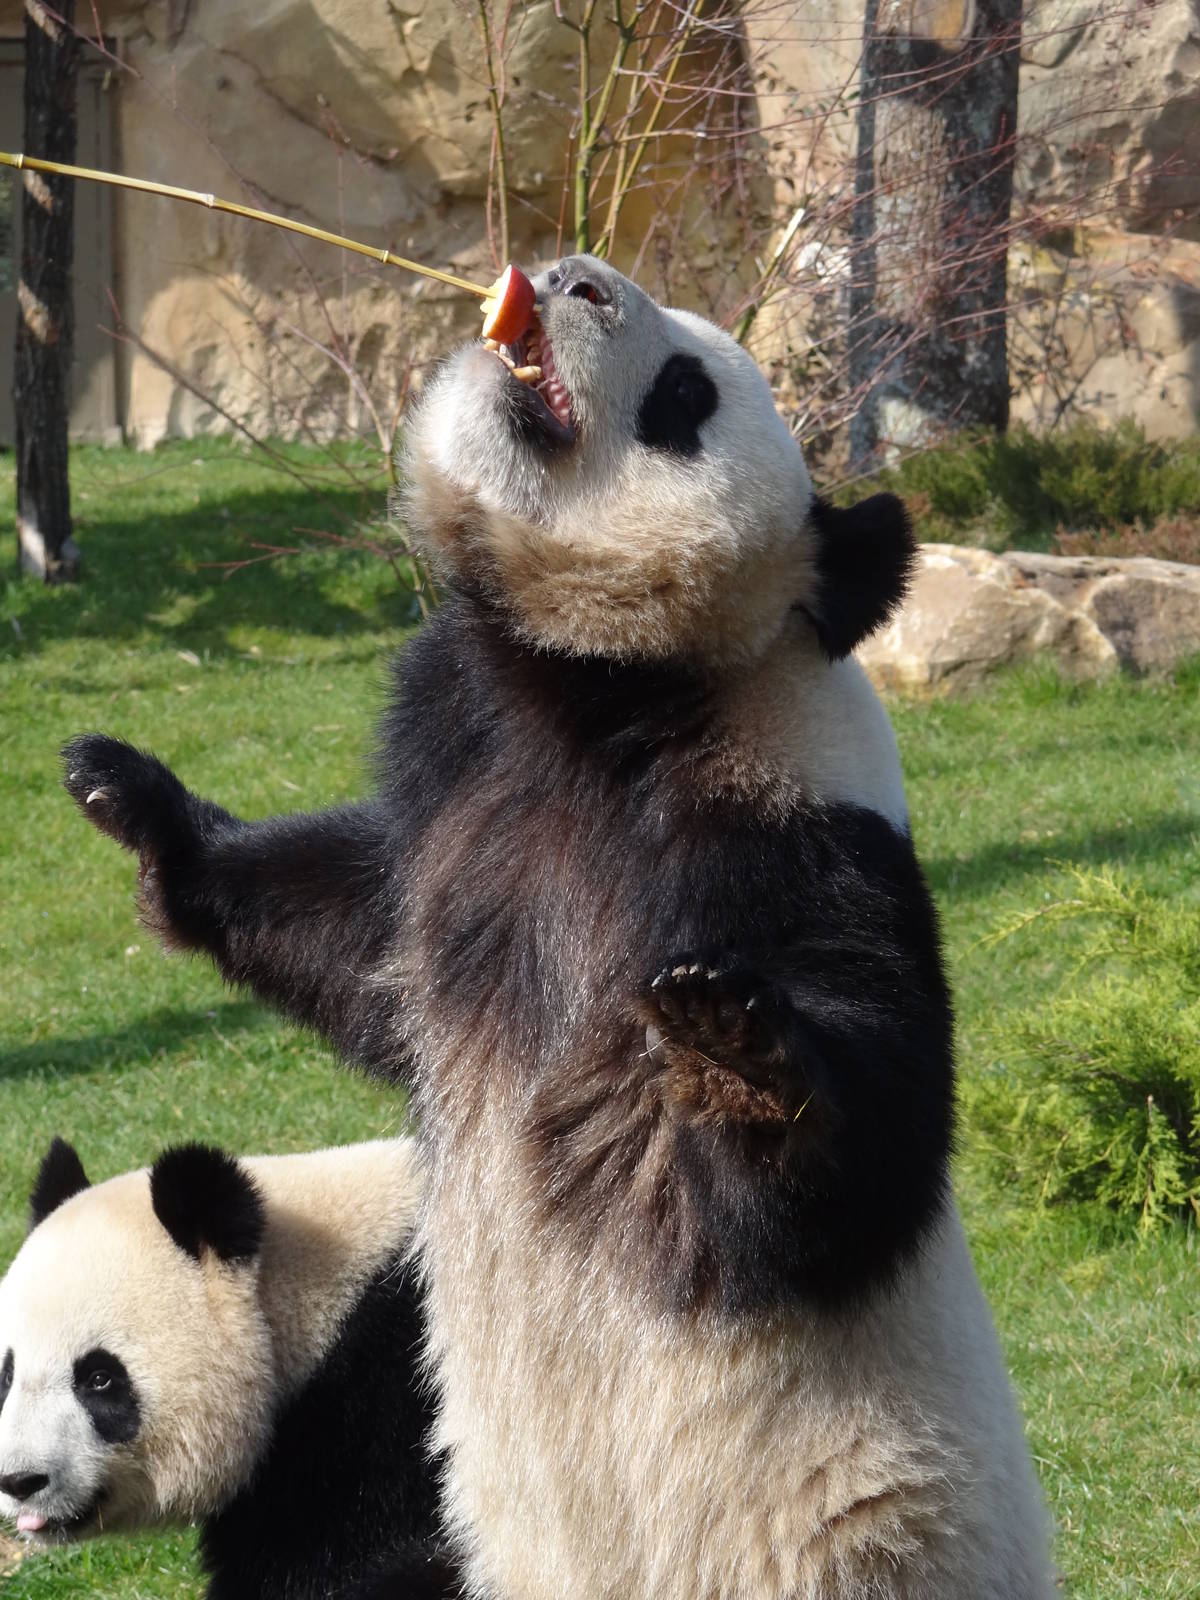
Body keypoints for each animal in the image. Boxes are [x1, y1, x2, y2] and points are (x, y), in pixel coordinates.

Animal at [61, 254, 1055, 1598]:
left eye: (686, 391)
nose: (576, 274)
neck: (602, 696)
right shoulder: (457, 788)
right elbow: (354, 933)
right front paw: (140, 810)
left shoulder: (795, 838)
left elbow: (860, 1160)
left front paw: (736, 1050)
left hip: (840, 1535)